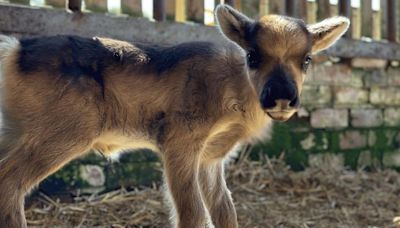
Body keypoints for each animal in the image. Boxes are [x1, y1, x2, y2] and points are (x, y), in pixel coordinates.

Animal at [0, 5, 348, 228]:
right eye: (252, 55)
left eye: (306, 59)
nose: (281, 98)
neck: (233, 94)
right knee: (9, 183)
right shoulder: (179, 142)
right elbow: (193, 215)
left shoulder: (211, 158)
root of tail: (13, 50)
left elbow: (225, 211)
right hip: (61, 135)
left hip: (14, 132)